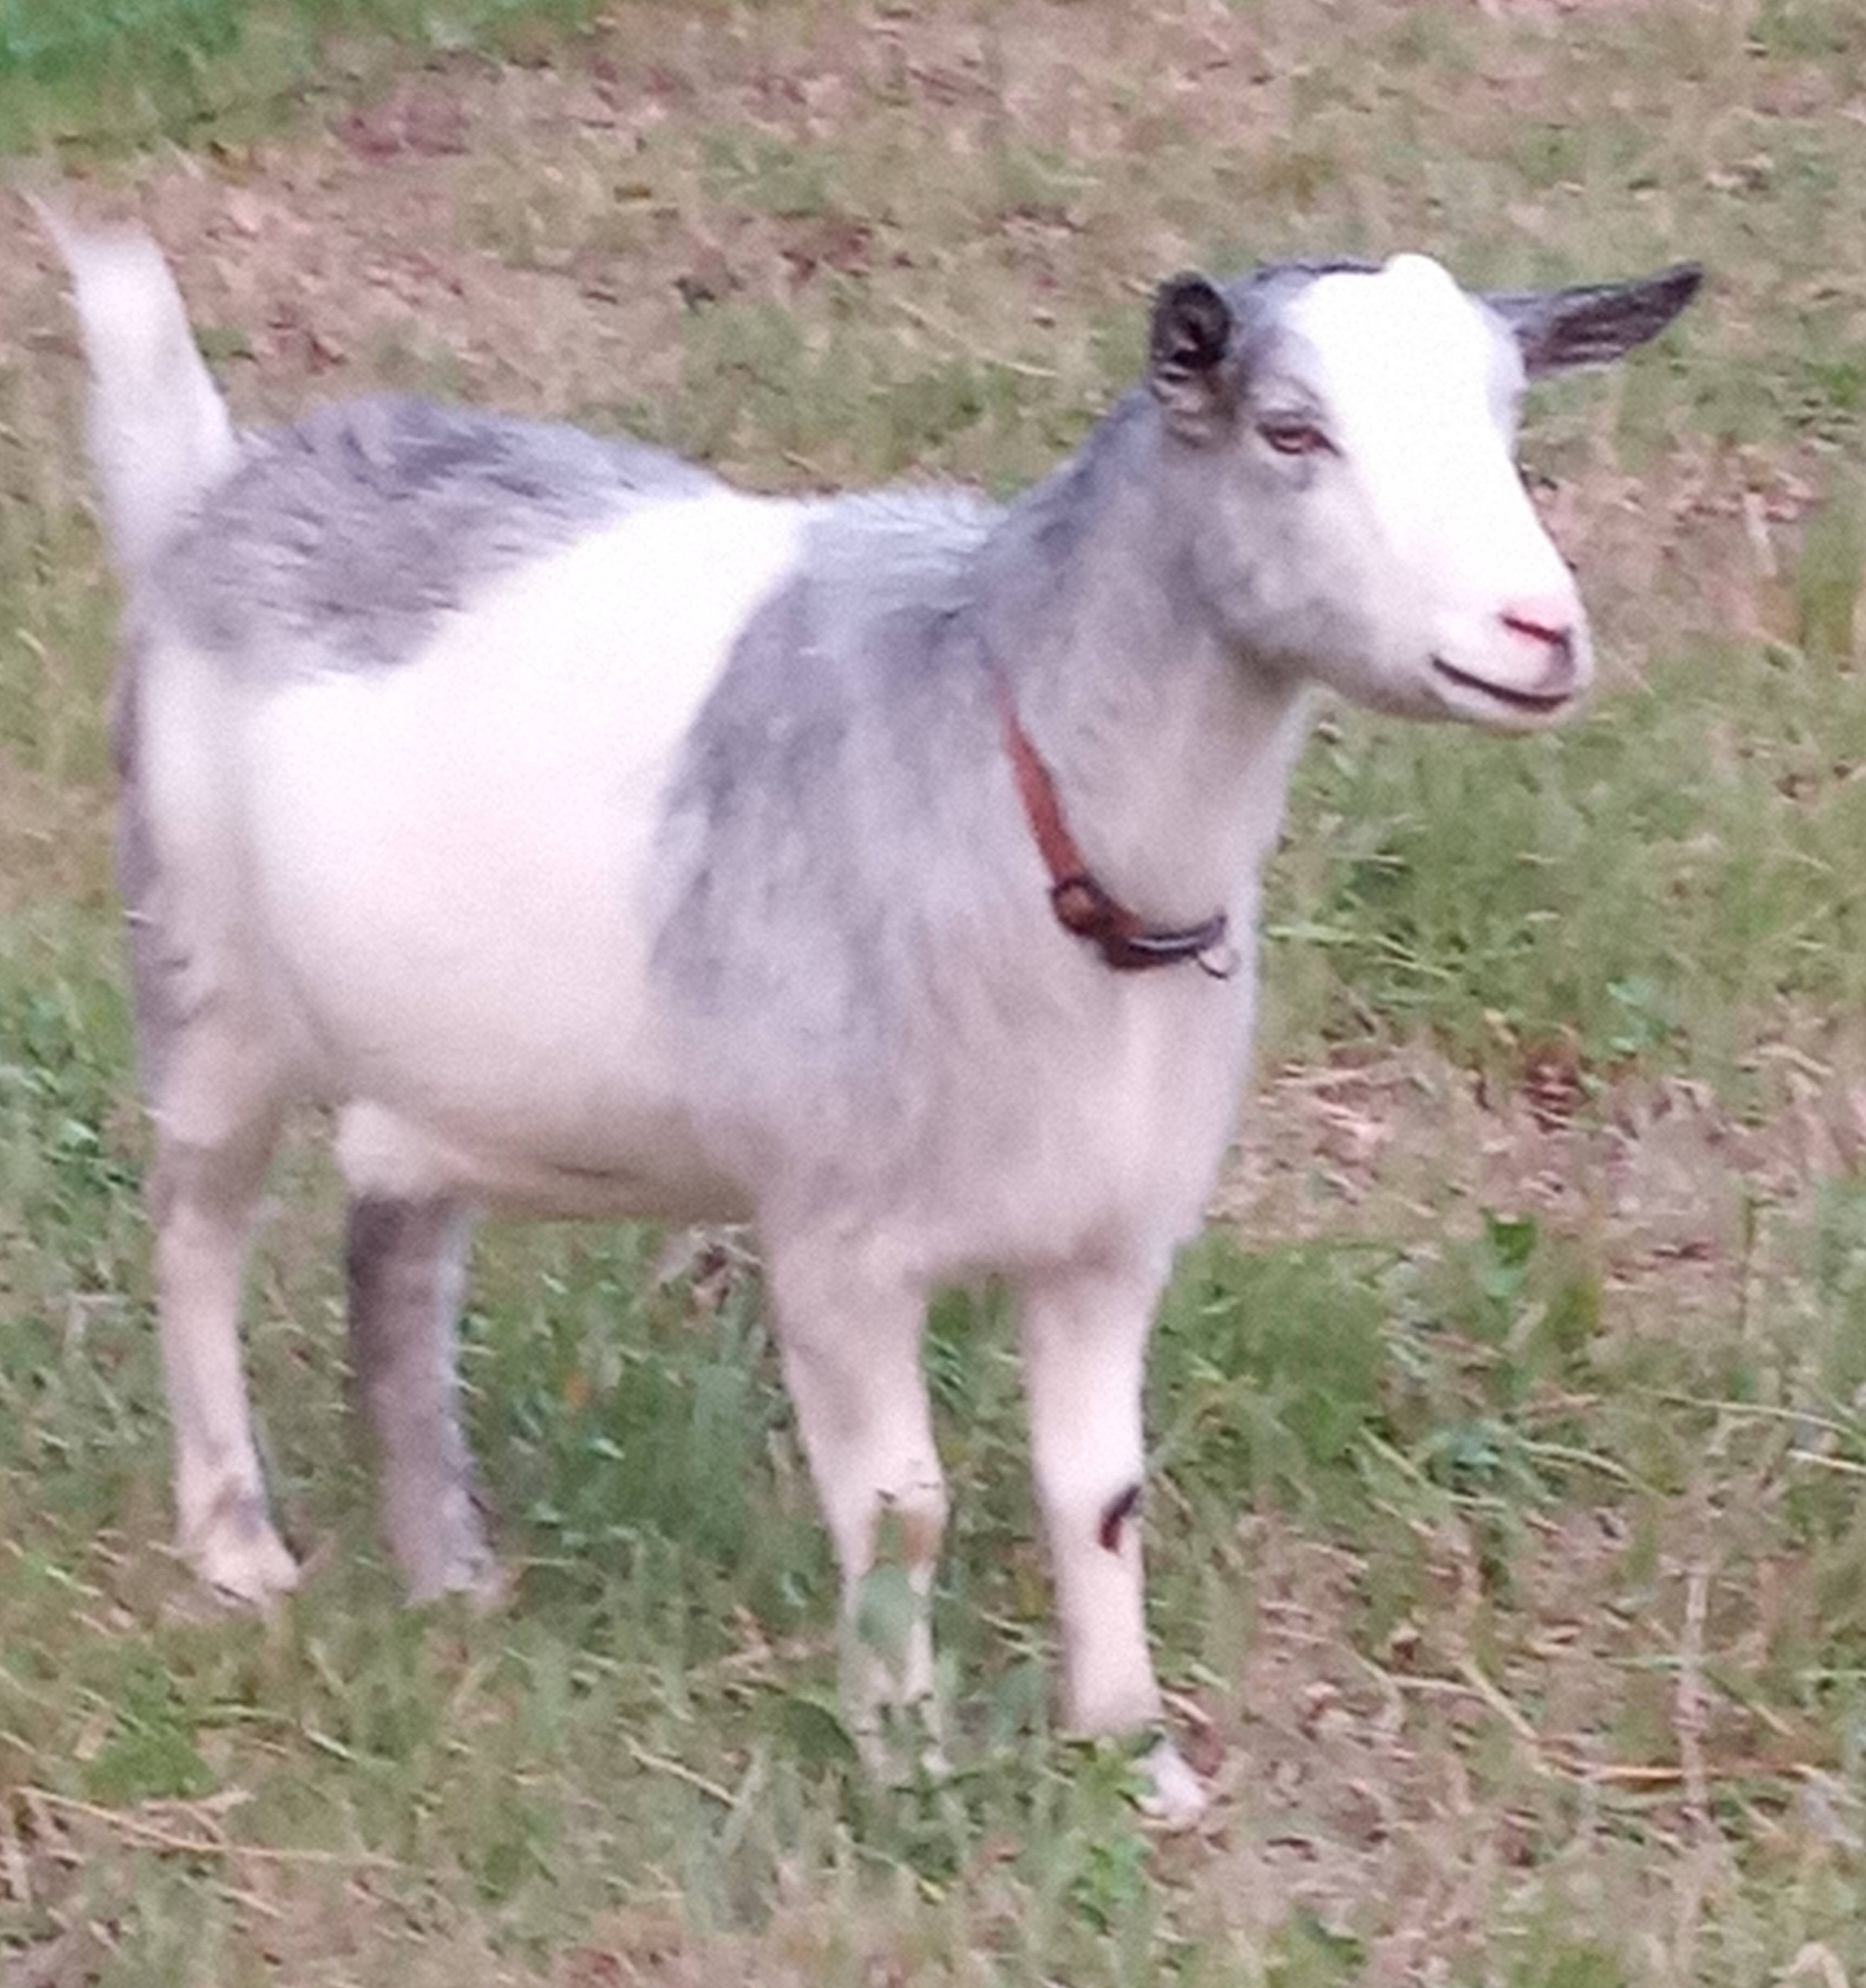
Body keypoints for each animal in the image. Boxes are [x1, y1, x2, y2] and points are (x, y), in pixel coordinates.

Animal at [50, 214, 1698, 1818]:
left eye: (1505, 414)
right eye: (1290, 432)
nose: (1538, 632)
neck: (1017, 771)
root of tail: (219, 494)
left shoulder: (1108, 1237)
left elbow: (1099, 1496)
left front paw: (1134, 1758)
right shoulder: (837, 1237)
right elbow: (901, 1507)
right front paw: (907, 1766)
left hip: (450, 1069)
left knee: (392, 1227)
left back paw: (447, 1571)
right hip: (203, 975)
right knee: (194, 1233)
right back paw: (238, 1544)